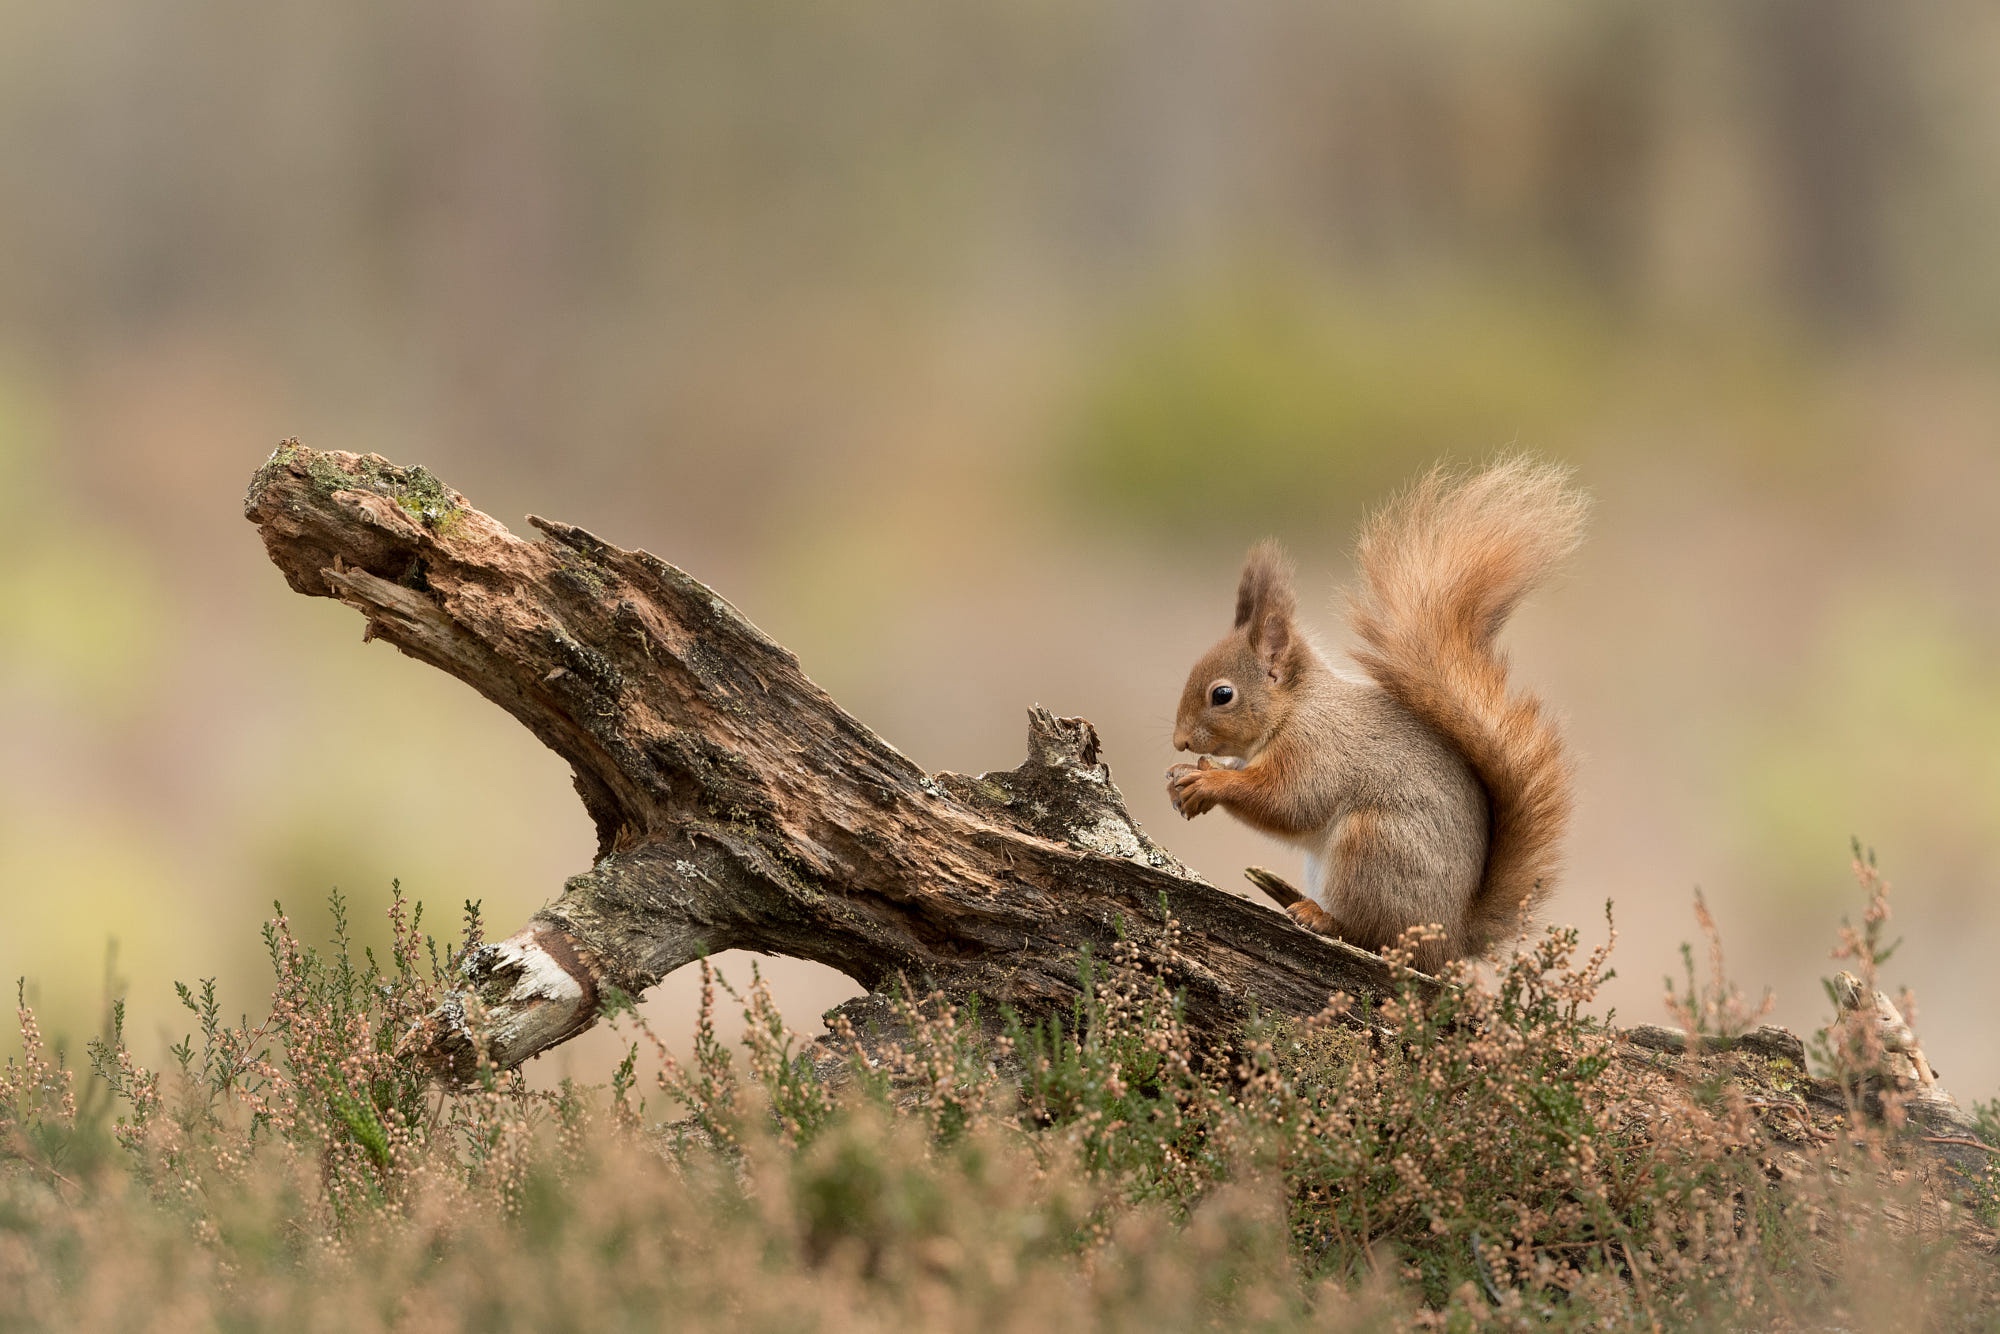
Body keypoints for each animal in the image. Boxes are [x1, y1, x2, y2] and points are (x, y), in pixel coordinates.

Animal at [1168, 460, 1584, 972]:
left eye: (1222, 695)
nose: (1180, 741)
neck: (1296, 707)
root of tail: (1451, 939)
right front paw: (1184, 777)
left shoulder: (1317, 748)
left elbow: (1286, 802)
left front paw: (1209, 781)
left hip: (1373, 848)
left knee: (1372, 935)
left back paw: (1322, 917)